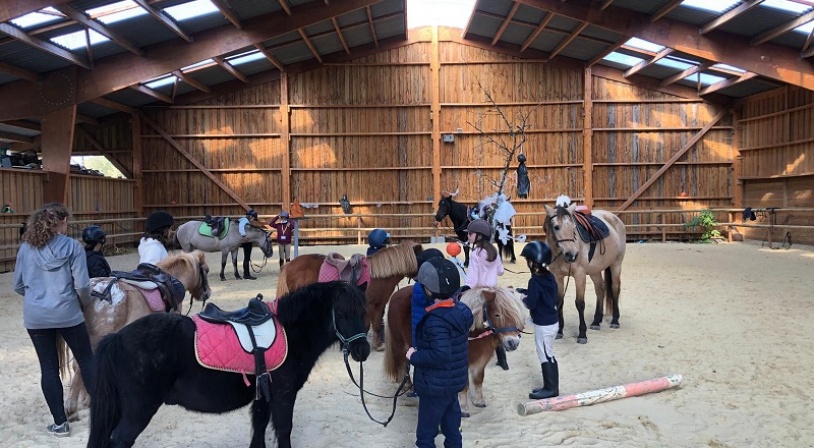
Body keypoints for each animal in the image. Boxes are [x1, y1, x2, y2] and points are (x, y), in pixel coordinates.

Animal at [87, 280, 372, 448]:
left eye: (365, 312)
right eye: (342, 314)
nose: (363, 351)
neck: (291, 330)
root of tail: (116, 338)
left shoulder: (263, 396)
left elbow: (259, 428)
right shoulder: (283, 394)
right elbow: (283, 430)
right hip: (138, 410)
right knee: (119, 440)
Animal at [276, 242, 424, 350]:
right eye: (422, 258)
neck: (377, 276)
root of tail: (289, 265)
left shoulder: (379, 305)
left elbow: (376, 324)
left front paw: (378, 345)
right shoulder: (369, 306)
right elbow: (366, 325)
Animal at [384, 288, 528, 416]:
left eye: (516, 315)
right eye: (497, 314)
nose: (513, 342)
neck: (471, 332)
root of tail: (396, 294)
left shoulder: (481, 361)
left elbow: (478, 380)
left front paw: (478, 401)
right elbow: (464, 385)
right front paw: (463, 408)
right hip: (400, 345)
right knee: (403, 366)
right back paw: (409, 387)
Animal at [548, 200, 632, 344]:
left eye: (573, 228)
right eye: (556, 227)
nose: (572, 254)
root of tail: (614, 218)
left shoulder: (580, 275)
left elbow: (580, 304)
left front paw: (582, 334)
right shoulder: (557, 277)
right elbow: (559, 302)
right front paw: (559, 331)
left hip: (616, 264)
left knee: (615, 288)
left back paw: (615, 320)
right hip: (595, 271)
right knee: (600, 289)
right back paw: (596, 321)